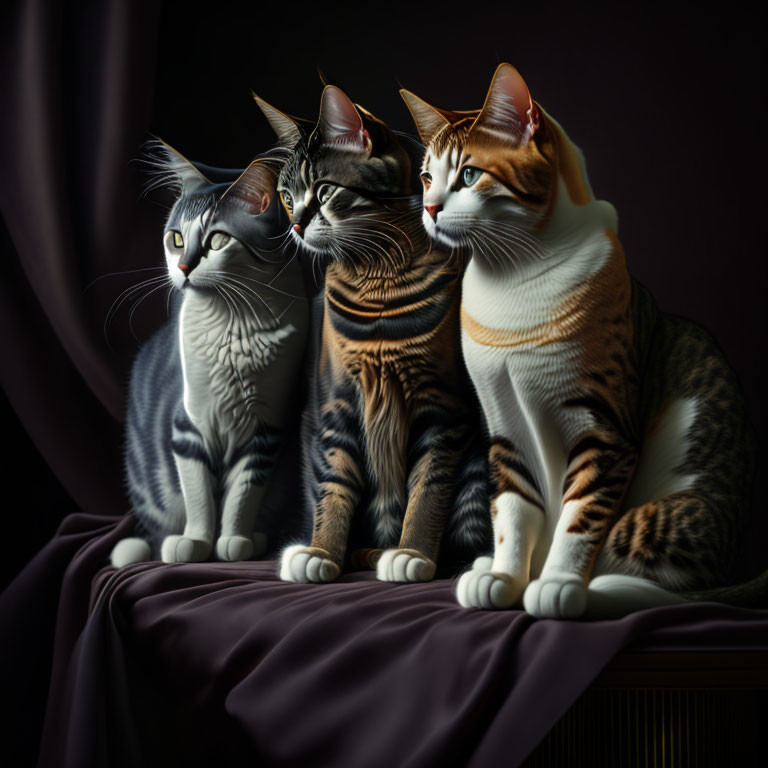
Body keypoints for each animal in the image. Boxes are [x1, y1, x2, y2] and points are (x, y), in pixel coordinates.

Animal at [109, 141, 312, 568]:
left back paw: (258, 537)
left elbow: (242, 495)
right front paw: (197, 542)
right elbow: (200, 495)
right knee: (154, 530)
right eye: (176, 239)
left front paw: (234, 540)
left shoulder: (265, 431)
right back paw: (166, 542)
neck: (234, 327)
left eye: (217, 241)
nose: (185, 267)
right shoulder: (188, 426)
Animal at [254, 88, 492, 584]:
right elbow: (335, 486)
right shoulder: (337, 405)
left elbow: (428, 490)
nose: (296, 225)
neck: (376, 280)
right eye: (286, 197)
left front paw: (413, 551)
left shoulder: (443, 408)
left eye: (324, 190)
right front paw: (323, 551)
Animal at [402, 64, 760, 616]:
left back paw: (592, 589)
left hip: (665, 515)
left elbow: (581, 515)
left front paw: (557, 584)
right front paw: (505, 576)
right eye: (426, 177)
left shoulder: (604, 430)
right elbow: (512, 511)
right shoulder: (504, 426)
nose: (430, 207)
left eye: (469, 175)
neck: (509, 284)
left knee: (656, 570)